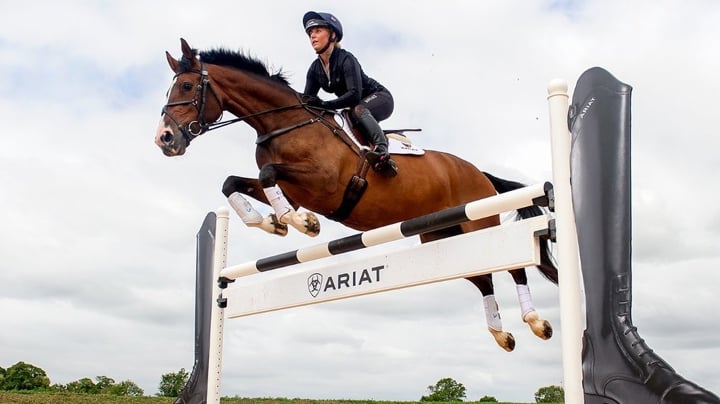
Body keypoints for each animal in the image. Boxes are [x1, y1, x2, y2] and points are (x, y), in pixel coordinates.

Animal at [156, 38, 556, 354]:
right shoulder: (293, 191)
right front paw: (272, 222)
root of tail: (478, 171)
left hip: (480, 221)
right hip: (442, 234)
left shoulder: (324, 183)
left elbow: (266, 173)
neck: (282, 123)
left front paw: (303, 224)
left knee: (516, 266)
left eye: (187, 86)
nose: (165, 139)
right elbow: (233, 183)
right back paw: (502, 334)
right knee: (483, 277)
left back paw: (537, 322)